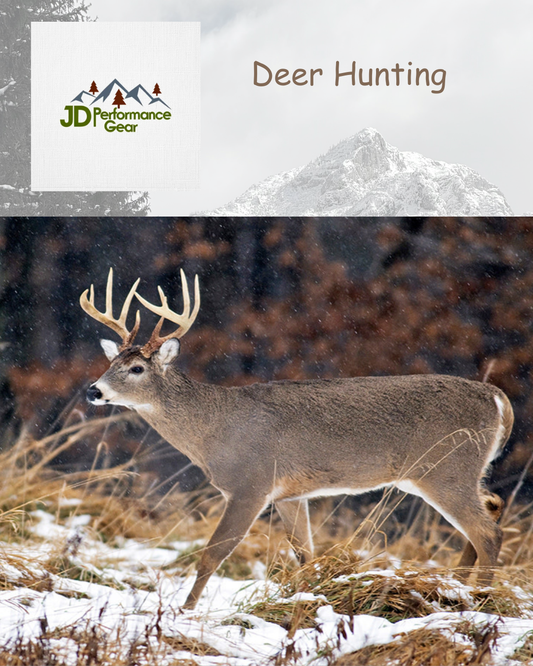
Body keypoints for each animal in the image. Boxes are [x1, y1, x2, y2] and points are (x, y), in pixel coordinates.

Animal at [80, 268, 514, 610]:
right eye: (110, 361)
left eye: (136, 368)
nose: (93, 390)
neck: (213, 430)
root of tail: (498, 399)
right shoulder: (289, 495)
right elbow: (305, 554)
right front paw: (309, 599)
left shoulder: (251, 484)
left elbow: (212, 554)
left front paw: (183, 612)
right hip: (453, 472)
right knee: (491, 506)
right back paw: (453, 586)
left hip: (445, 468)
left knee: (487, 531)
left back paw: (479, 600)